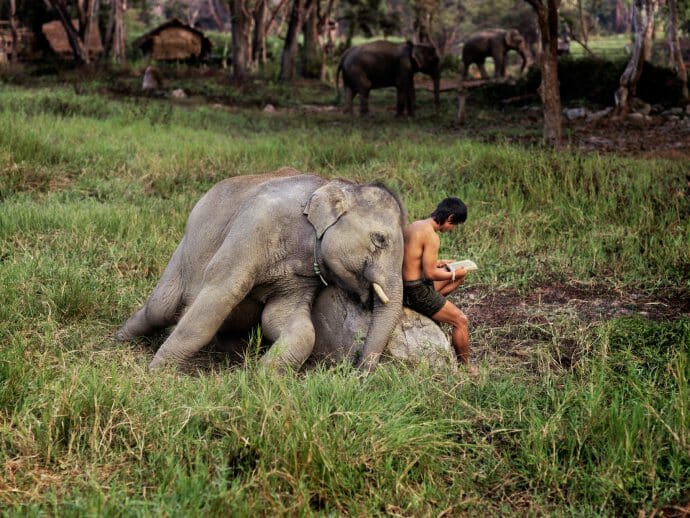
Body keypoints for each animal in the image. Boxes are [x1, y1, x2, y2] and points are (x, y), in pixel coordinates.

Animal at [117, 169, 408, 372]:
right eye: (380, 239)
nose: (358, 372)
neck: (327, 184)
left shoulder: (302, 277)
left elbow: (288, 322)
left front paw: (261, 375)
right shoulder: (255, 226)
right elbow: (220, 295)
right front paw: (159, 372)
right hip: (184, 252)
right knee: (161, 308)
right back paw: (120, 338)